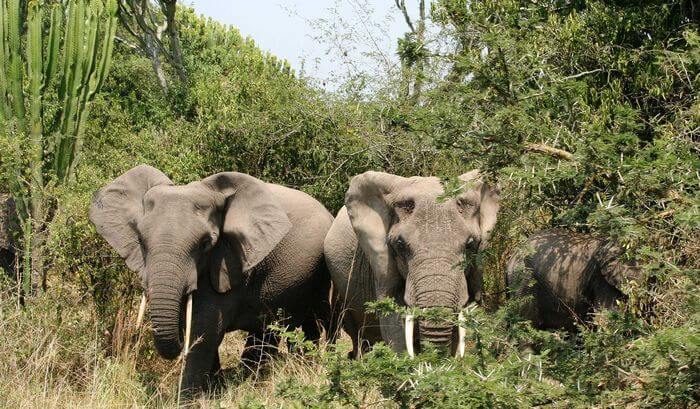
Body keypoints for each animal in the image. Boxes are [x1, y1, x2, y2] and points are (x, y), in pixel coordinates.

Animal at [89, 165, 335, 394]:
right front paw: (214, 390)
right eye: (140, 240)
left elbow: (204, 331)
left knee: (315, 322)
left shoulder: (229, 262)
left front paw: (189, 400)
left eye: (206, 243)